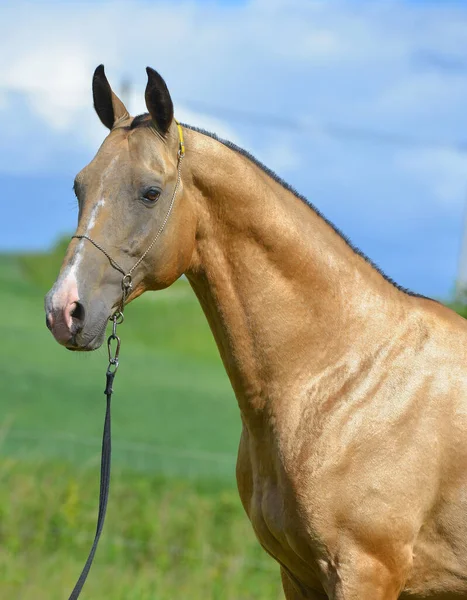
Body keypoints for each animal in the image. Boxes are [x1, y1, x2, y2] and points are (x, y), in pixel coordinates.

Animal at [45, 65, 467, 600]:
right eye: (80, 187)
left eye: (150, 192)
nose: (64, 310)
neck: (341, 380)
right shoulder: (298, 575)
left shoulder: (367, 572)